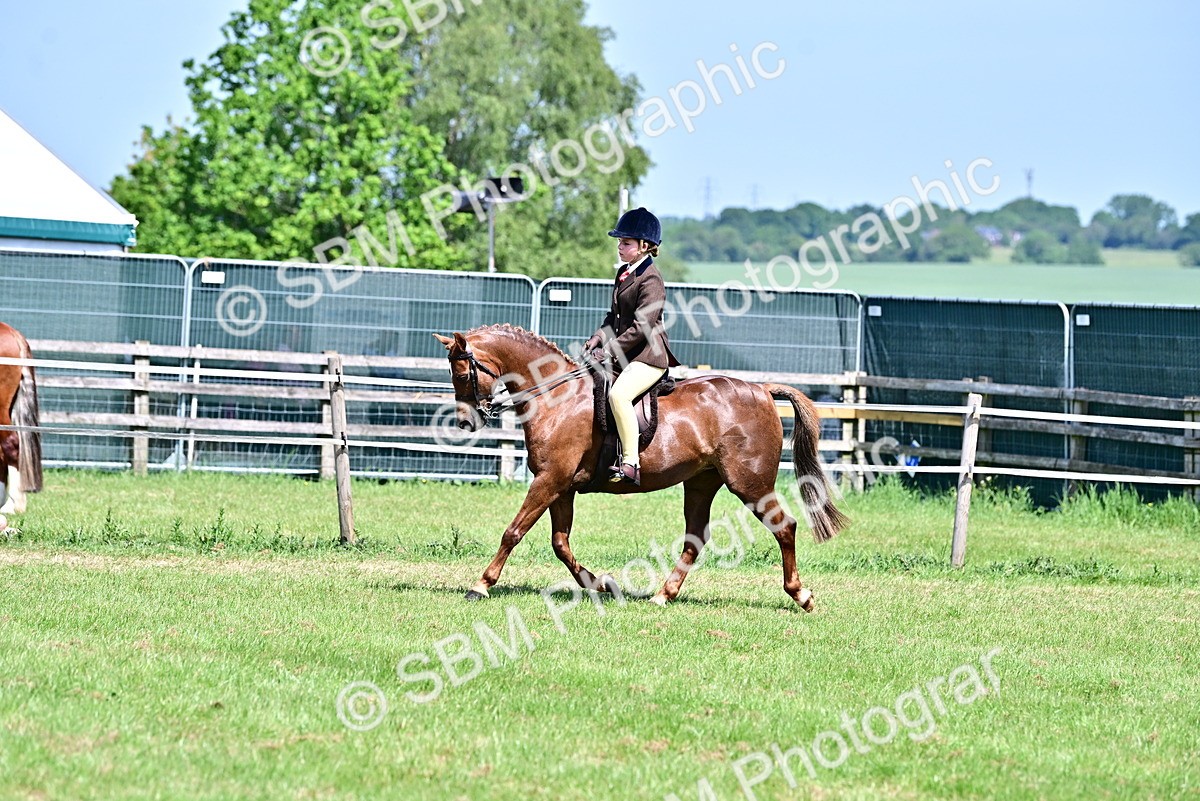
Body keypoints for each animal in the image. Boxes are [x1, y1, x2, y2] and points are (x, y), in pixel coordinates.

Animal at [433, 324, 846, 611]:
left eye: (461, 374)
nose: (466, 423)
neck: (556, 397)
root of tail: (761, 390)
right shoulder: (560, 486)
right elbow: (560, 544)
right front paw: (601, 584)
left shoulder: (549, 481)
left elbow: (513, 532)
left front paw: (481, 585)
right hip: (702, 482)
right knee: (695, 539)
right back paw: (664, 594)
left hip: (750, 483)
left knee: (784, 527)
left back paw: (801, 595)